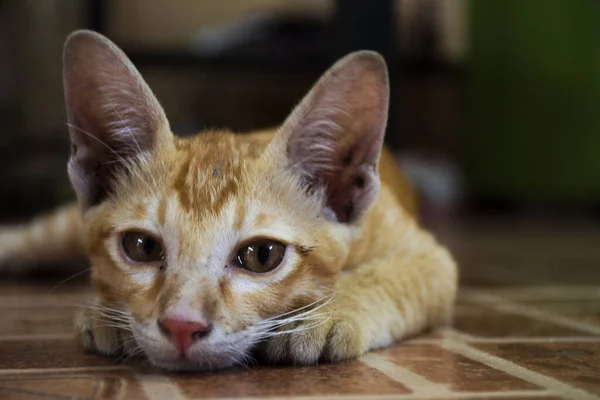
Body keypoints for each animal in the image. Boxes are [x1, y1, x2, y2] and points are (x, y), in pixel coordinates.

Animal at [0, 29, 454, 370]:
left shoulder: (430, 258)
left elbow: (389, 277)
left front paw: (327, 313)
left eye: (261, 255)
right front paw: (107, 313)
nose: (182, 326)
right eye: (141, 246)